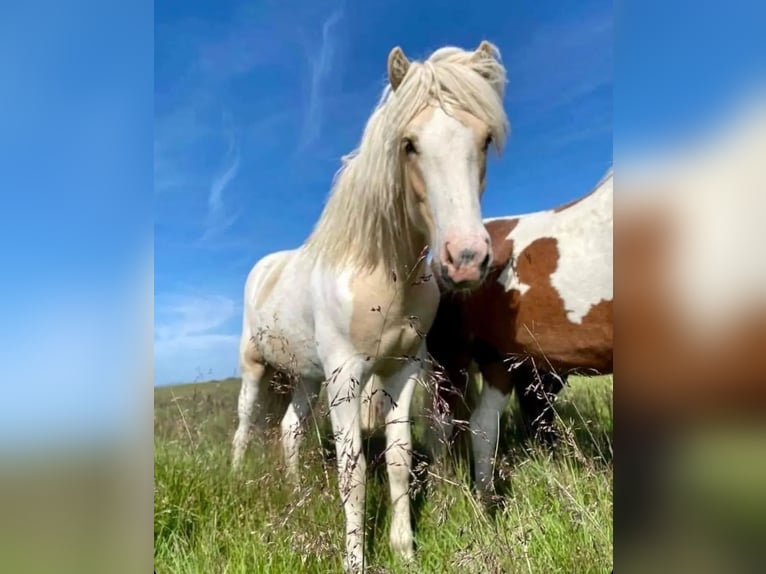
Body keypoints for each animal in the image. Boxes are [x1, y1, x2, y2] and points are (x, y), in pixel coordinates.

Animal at [231, 42, 512, 572]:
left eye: (485, 139)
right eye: (409, 144)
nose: (465, 259)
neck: (379, 271)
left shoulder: (402, 370)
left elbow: (399, 459)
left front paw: (404, 550)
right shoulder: (346, 376)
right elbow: (354, 472)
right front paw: (356, 559)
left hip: (307, 377)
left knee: (289, 430)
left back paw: (295, 494)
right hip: (257, 368)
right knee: (242, 428)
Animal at [426, 169, 612, 498]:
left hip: (501, 362)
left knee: (484, 425)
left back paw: (487, 499)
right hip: (450, 358)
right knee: (441, 423)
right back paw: (443, 488)